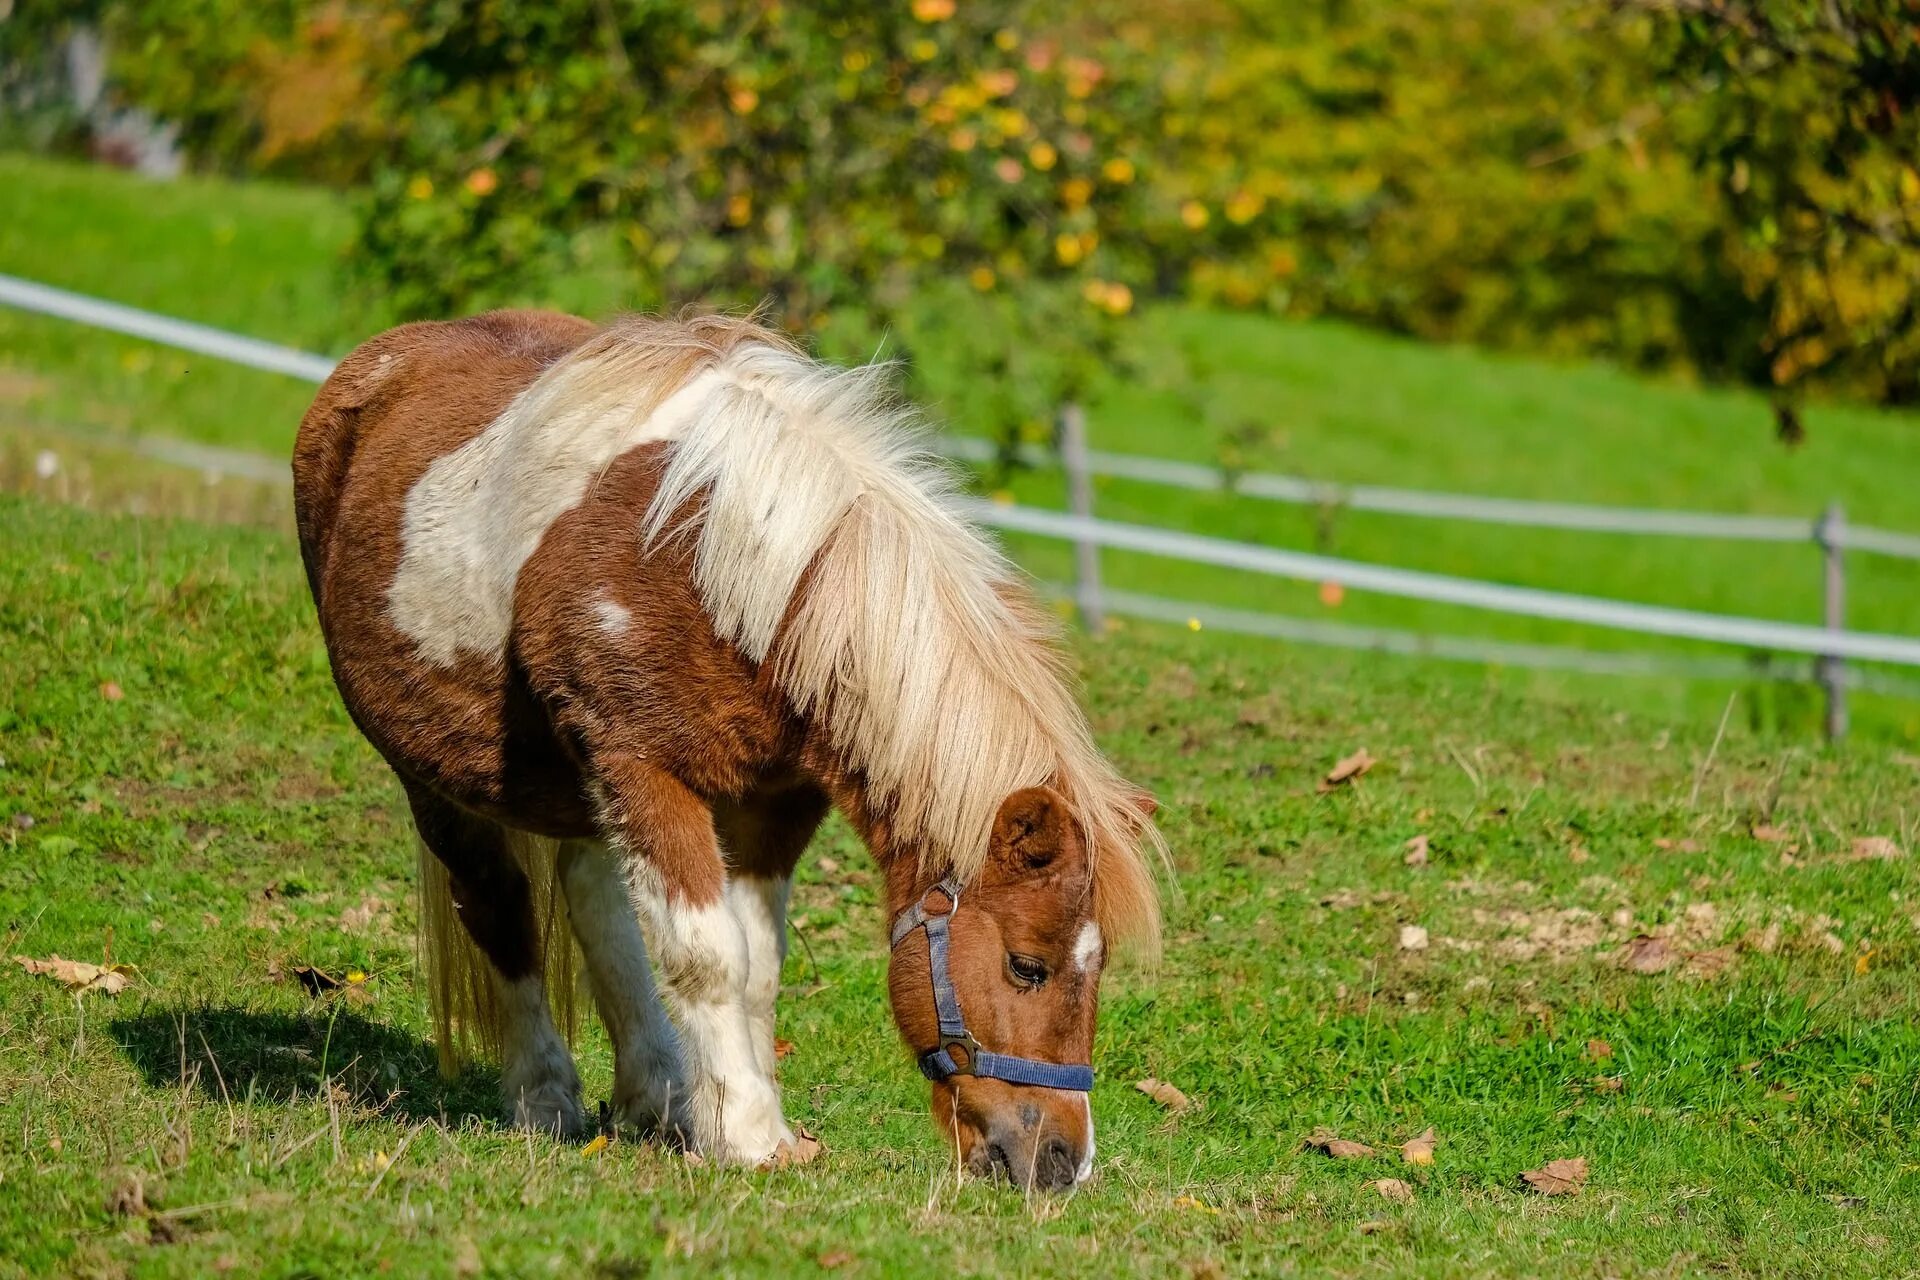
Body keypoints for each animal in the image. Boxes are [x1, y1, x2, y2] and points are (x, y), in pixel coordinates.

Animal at [291, 310, 1159, 1189]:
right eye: (1027, 966)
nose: (1062, 1160)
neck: (723, 567)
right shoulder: (642, 769)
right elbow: (709, 955)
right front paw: (744, 1135)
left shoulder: (775, 801)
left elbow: (757, 966)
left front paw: (753, 1117)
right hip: (437, 777)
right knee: (500, 910)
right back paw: (546, 1099)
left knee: (596, 899)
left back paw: (659, 1094)